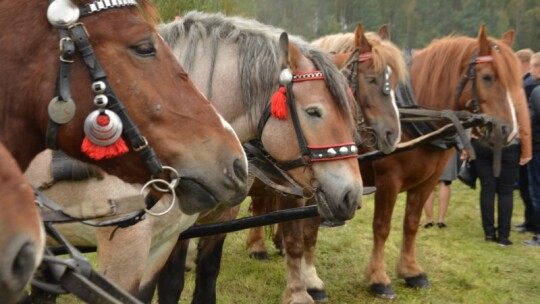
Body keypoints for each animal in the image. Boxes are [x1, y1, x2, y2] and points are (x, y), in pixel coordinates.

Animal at [243, 23, 408, 302]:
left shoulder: (321, 191)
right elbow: (295, 237)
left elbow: (309, 233)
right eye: (372, 79)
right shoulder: (296, 190)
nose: (393, 134)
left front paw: (312, 280)